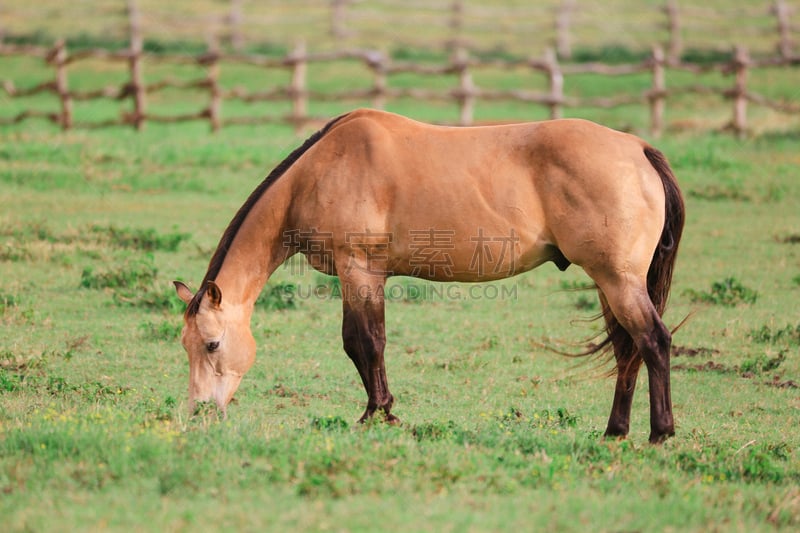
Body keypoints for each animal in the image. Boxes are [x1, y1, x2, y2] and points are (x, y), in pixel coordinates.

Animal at [172, 107, 684, 440]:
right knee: (627, 350)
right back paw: (615, 431)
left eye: (212, 344)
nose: (201, 412)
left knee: (653, 341)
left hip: (617, 280)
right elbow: (364, 345)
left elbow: (364, 343)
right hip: (609, 282)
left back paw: (660, 433)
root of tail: (639, 150)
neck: (321, 171)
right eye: (187, 346)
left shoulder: (359, 270)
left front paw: (378, 414)